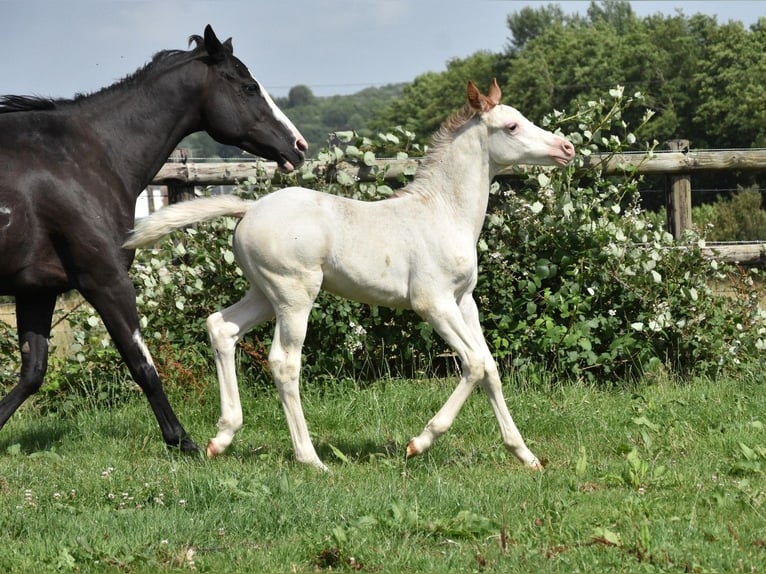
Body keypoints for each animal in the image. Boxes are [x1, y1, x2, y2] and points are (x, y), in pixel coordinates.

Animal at [0, 24, 306, 452]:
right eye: (248, 87)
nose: (298, 146)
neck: (81, 158)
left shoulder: (37, 289)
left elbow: (32, 373)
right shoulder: (106, 280)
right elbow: (142, 364)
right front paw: (183, 442)